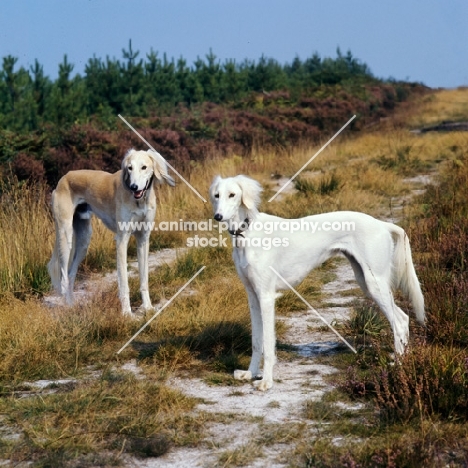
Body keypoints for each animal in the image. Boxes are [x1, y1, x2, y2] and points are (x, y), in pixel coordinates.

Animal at [48, 148, 176, 314]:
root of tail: (64, 178)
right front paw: (127, 313)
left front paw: (148, 307)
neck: (139, 201)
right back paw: (69, 307)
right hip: (65, 235)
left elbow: (144, 278)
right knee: (63, 277)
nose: (134, 187)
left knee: (70, 275)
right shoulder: (122, 239)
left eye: (144, 167)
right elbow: (123, 281)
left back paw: (72, 305)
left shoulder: (143, 238)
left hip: (84, 240)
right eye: (129, 168)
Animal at [210, 176, 426, 392]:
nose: (218, 216)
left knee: (399, 322)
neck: (247, 231)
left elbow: (268, 344)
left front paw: (266, 382)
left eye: (232, 194)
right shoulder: (253, 296)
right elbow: (256, 340)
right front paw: (250, 373)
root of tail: (382, 224)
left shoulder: (266, 297)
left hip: (375, 282)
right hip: (366, 280)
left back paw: (399, 368)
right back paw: (401, 363)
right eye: (217, 195)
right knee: (403, 318)